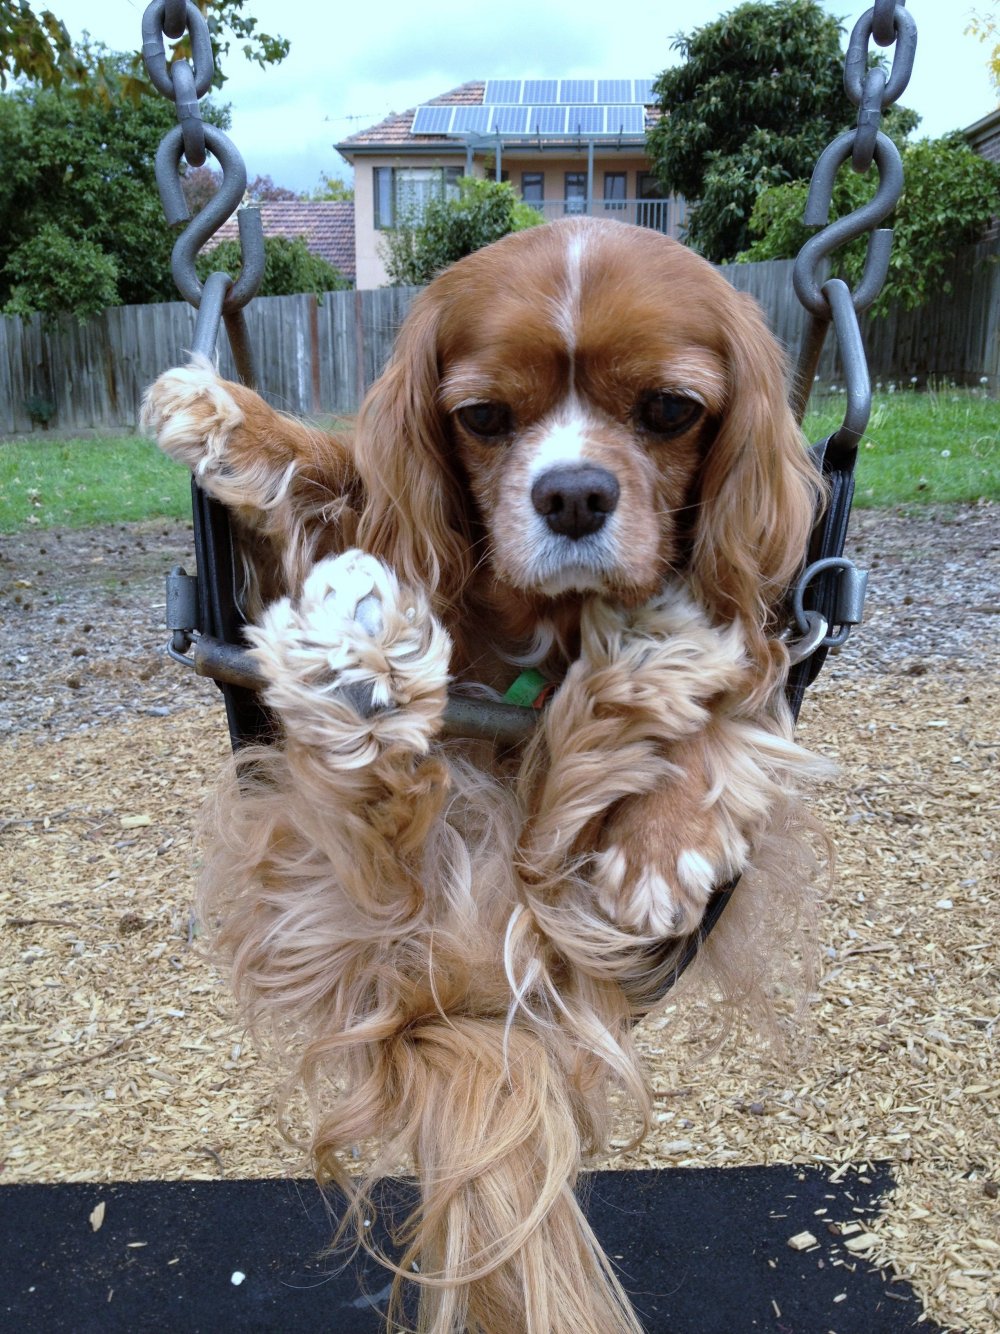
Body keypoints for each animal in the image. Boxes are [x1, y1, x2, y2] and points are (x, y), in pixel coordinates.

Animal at [142, 221, 832, 1334]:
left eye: (669, 410)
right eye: (482, 418)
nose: (573, 493)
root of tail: (453, 1007)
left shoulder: (778, 629)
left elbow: (739, 697)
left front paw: (660, 838)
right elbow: (345, 481)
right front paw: (236, 421)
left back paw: (629, 670)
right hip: (332, 872)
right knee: (382, 810)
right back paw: (364, 667)